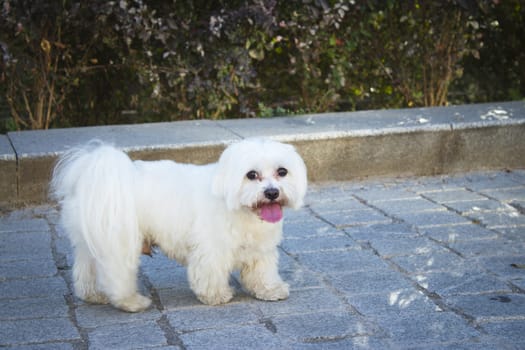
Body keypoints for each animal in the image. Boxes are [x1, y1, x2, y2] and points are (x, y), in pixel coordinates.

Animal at [49, 137, 308, 312]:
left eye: (282, 171)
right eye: (251, 175)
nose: (272, 192)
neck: (241, 208)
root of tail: (92, 176)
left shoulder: (260, 250)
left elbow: (262, 272)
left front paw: (269, 290)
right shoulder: (210, 249)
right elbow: (210, 273)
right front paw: (215, 296)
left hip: (93, 239)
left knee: (87, 269)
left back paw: (92, 295)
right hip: (119, 240)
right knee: (116, 273)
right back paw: (131, 302)